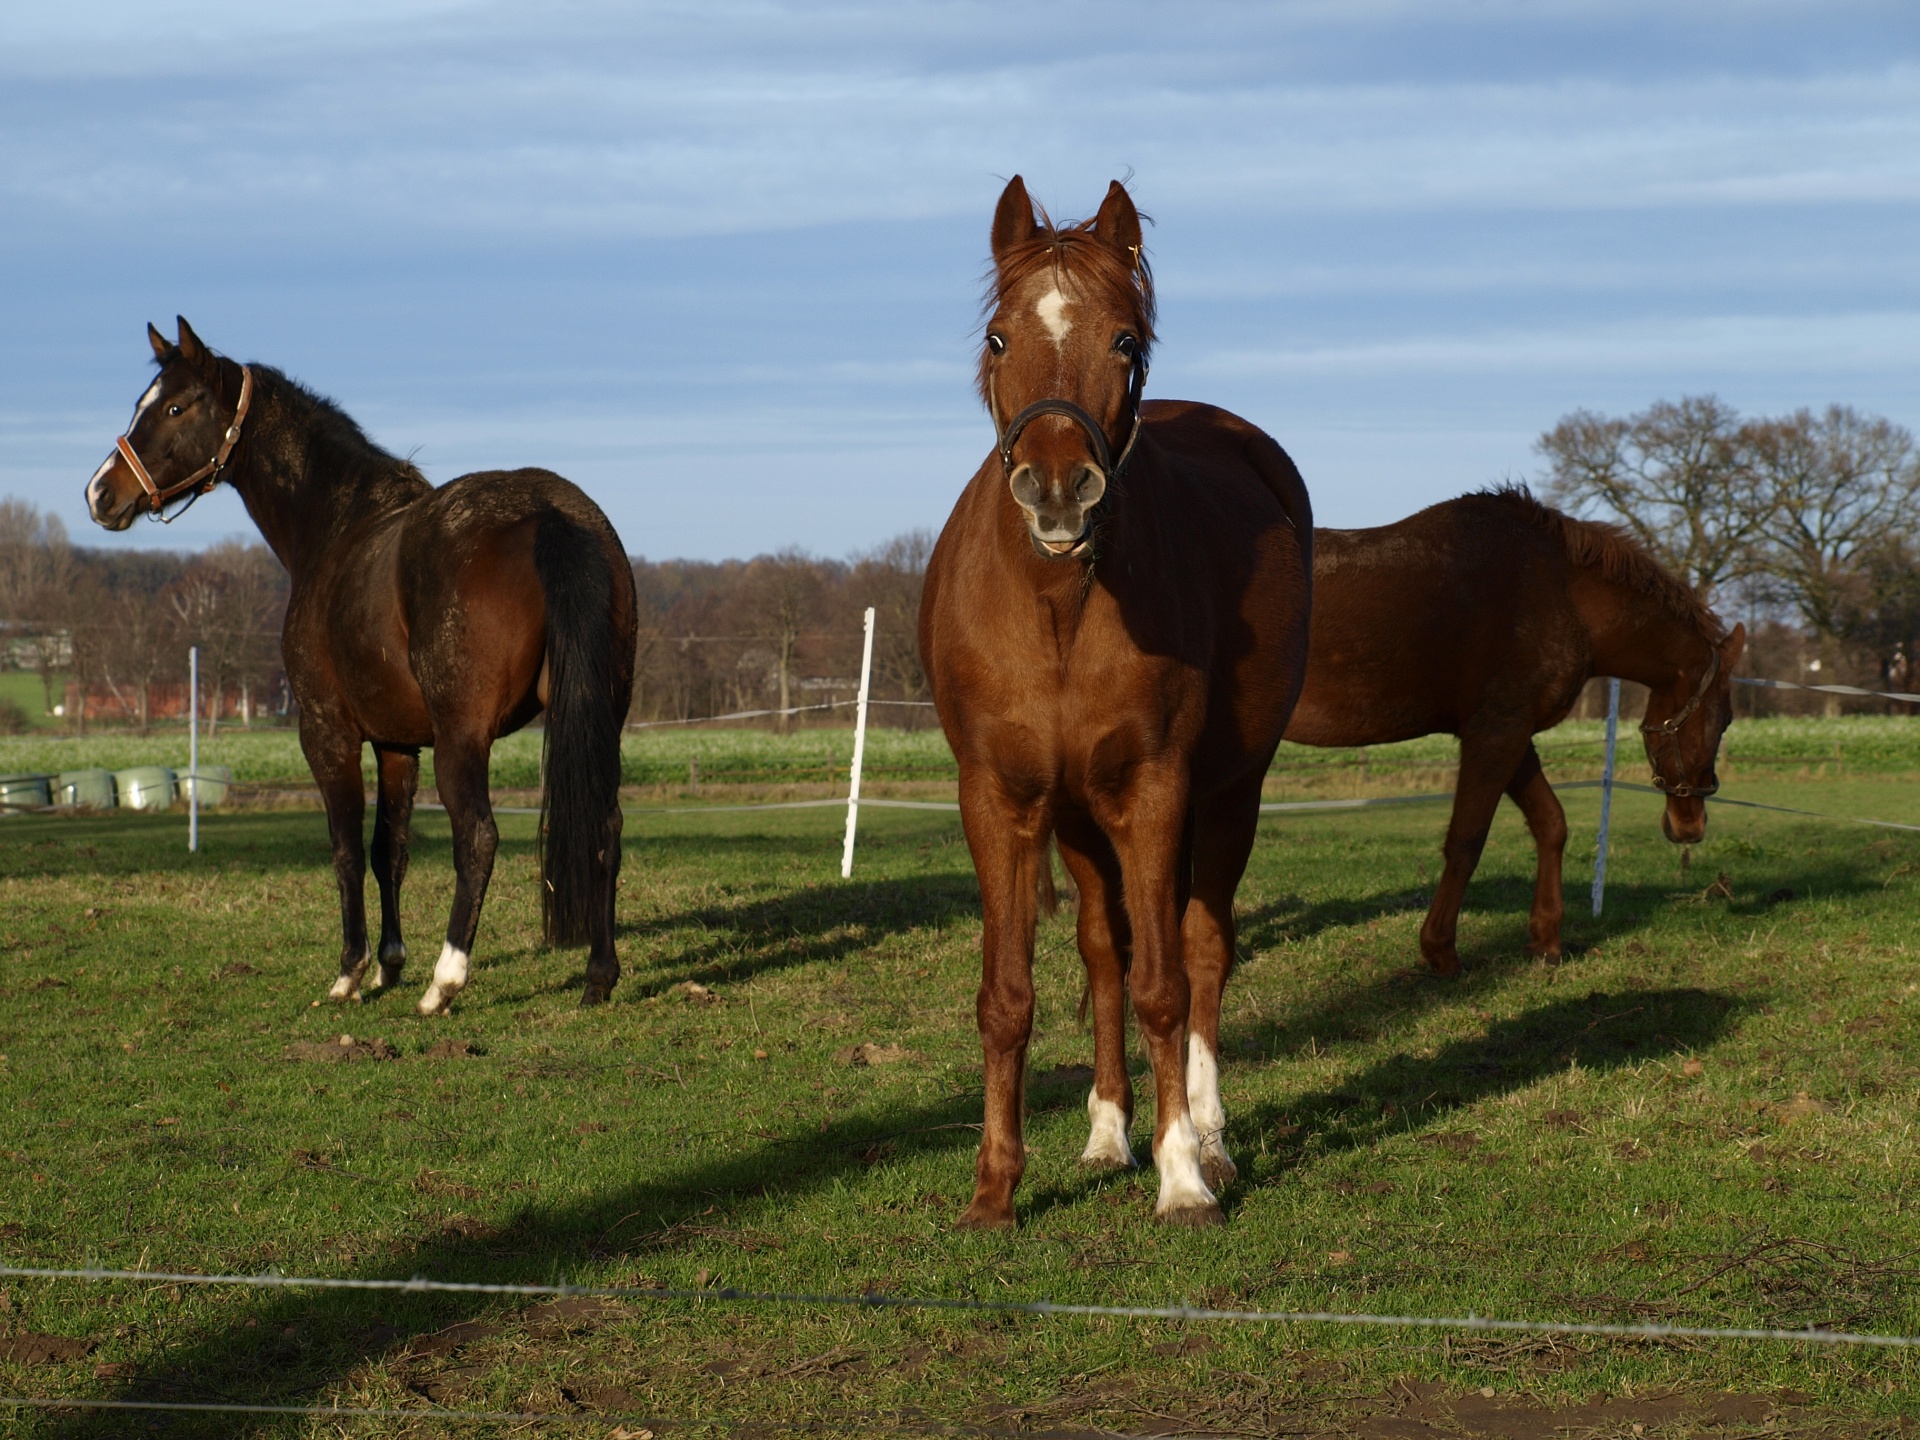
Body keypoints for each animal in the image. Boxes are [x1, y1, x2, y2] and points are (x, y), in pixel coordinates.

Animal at [88, 318, 637, 1013]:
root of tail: (552, 513)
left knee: (477, 837)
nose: (100, 493)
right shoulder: (398, 743)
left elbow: (346, 848)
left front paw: (351, 971)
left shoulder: (327, 733)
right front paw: (389, 964)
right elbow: (388, 849)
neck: (337, 527)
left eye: (176, 407)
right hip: (597, 716)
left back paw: (445, 983)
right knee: (604, 825)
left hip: (464, 738)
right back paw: (598, 975)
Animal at [921, 180, 1313, 1228]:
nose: (1059, 489)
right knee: (1103, 954)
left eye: (1125, 340)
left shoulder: (1156, 791)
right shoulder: (1003, 801)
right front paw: (995, 1190)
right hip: (1079, 825)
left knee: (1203, 948)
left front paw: (1183, 1178)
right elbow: (1011, 995)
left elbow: (1166, 986)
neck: (1060, 607)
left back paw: (1208, 1138)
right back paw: (1106, 1135)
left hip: (1228, 797)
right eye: (1000, 336)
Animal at [1282, 491, 1751, 975]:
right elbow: (1467, 839)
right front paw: (1441, 950)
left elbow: (1552, 824)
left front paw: (1545, 942)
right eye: (1724, 720)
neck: (1562, 593)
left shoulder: (1516, 735)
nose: (1690, 827)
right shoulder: (1496, 732)